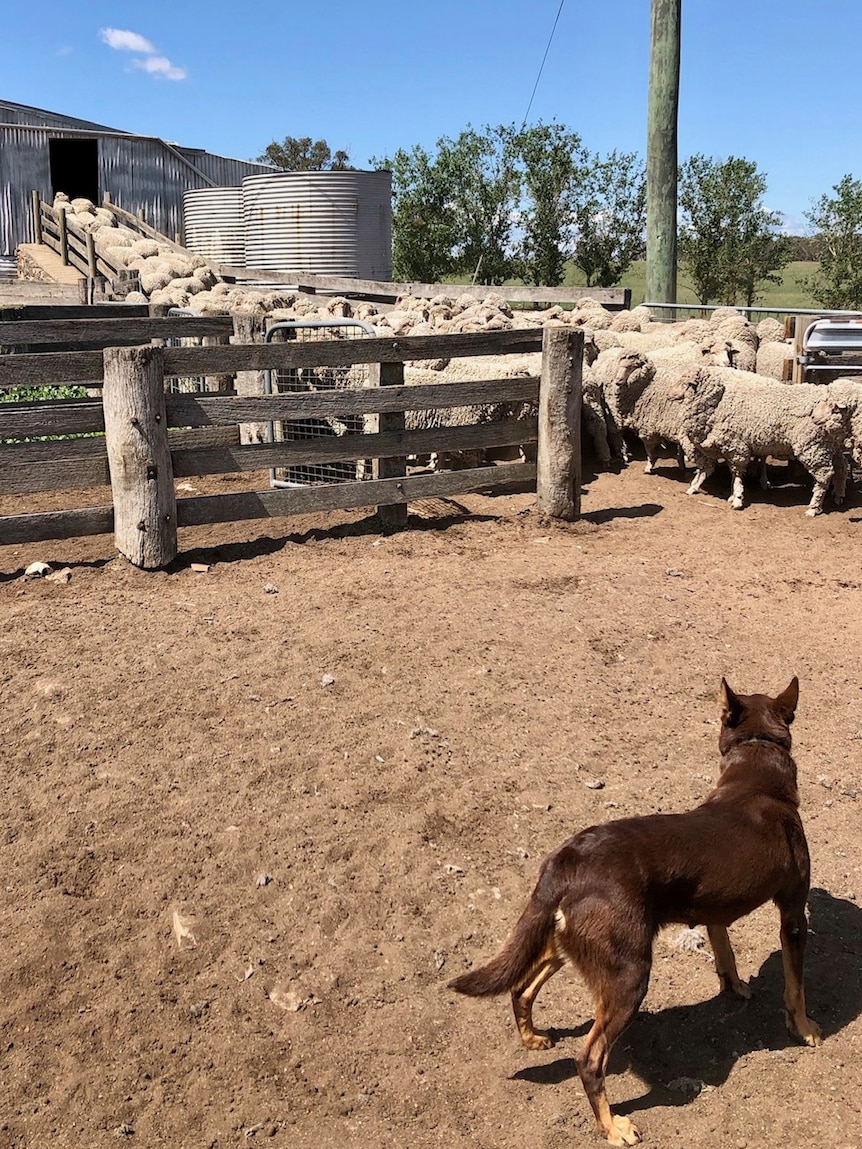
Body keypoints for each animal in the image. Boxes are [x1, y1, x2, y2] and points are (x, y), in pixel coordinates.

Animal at [448, 675, 818, 1144]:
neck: (755, 776)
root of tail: (566, 858)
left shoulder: (713, 912)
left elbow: (726, 953)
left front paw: (734, 986)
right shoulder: (793, 913)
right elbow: (796, 988)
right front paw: (805, 1030)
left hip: (573, 944)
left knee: (521, 987)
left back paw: (532, 1038)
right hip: (629, 975)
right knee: (588, 1059)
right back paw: (613, 1127)